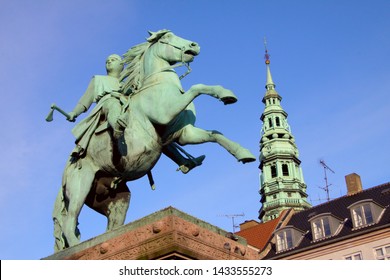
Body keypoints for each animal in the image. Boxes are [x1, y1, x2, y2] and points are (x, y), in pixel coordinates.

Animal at [52, 30, 256, 252]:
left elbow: (215, 134)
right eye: (167, 37)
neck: (157, 83)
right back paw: (78, 248)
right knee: (69, 222)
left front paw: (243, 153)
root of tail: (65, 174)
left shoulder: (184, 134)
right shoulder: (166, 113)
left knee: (110, 226)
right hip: (80, 187)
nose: (195, 45)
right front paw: (224, 93)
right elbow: (197, 87)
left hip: (116, 199)